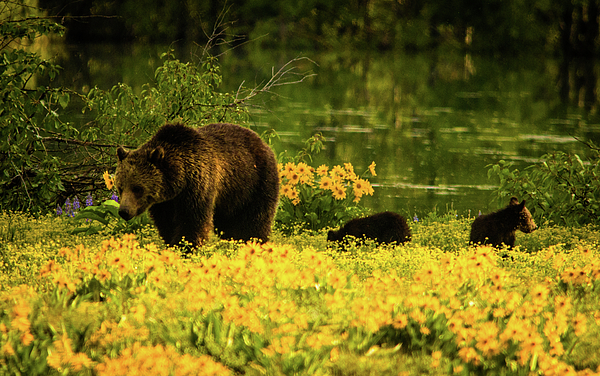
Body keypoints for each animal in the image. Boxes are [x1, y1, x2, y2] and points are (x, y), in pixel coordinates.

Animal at [114, 122, 278, 248]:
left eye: (137, 189)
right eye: (120, 188)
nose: (124, 211)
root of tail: (262, 142)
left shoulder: (198, 186)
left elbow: (193, 222)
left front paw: (185, 247)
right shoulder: (164, 203)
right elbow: (167, 224)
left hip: (256, 183)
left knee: (255, 220)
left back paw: (254, 242)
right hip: (230, 200)